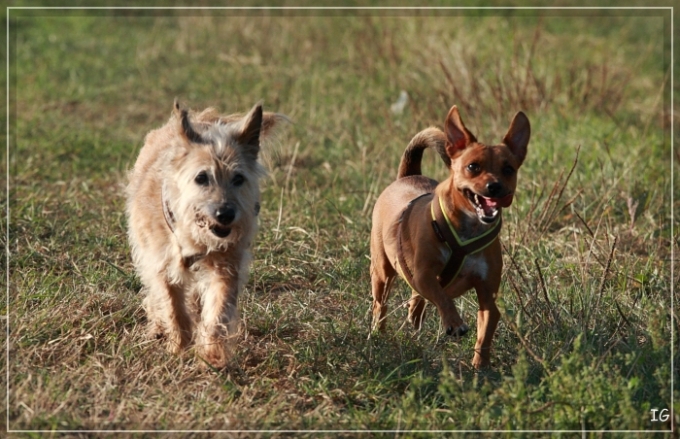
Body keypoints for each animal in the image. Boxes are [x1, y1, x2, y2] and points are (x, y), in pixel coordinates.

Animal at [126, 99, 286, 368]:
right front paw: (178, 348)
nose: (225, 214)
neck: (194, 234)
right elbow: (173, 307)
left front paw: (211, 355)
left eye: (238, 178)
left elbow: (218, 311)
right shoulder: (162, 264)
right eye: (202, 177)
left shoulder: (227, 265)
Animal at [370, 105, 528, 370]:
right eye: (473, 167)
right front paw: (454, 322)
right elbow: (442, 296)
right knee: (380, 305)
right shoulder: (425, 274)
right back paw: (377, 334)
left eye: (508, 169)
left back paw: (414, 316)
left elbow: (485, 332)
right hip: (382, 272)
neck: (469, 228)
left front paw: (480, 367)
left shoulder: (488, 296)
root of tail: (406, 176)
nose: (494, 186)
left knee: (416, 297)